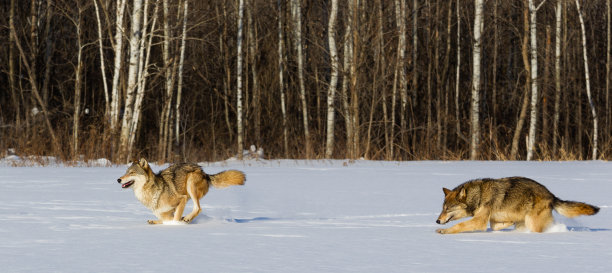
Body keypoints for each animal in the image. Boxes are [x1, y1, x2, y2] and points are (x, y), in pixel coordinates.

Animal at [436, 176, 596, 234]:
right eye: (442, 209)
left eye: (447, 209)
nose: (437, 221)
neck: (479, 195)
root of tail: (551, 195)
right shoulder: (491, 220)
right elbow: (495, 226)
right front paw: (508, 223)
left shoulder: (479, 221)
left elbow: (459, 225)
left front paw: (444, 231)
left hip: (533, 223)